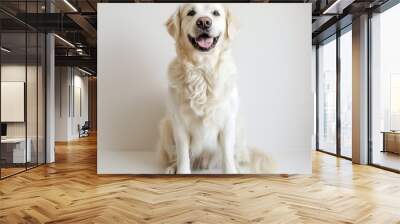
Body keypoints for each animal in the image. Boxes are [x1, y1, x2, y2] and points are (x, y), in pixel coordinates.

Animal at [158, 3, 274, 175]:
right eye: (191, 12)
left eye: (215, 13)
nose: (204, 22)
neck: (203, 70)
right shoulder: (179, 122)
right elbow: (183, 154)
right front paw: (182, 172)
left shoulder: (227, 121)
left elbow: (227, 154)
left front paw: (231, 173)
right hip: (166, 125)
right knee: (176, 155)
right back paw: (173, 167)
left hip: (239, 126)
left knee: (235, 155)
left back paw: (238, 168)